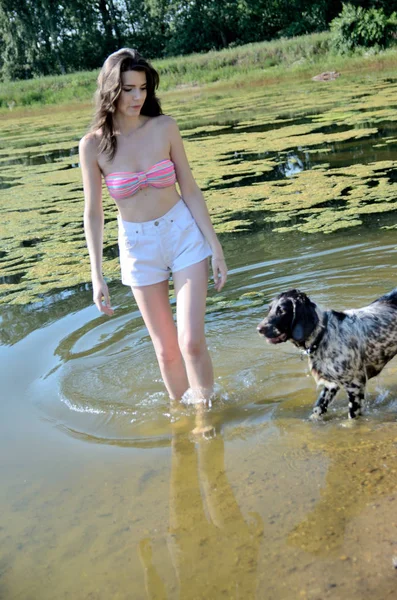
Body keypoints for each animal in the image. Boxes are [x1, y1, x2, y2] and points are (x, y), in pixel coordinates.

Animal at [256, 288, 397, 420]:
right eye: (269, 309)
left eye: (282, 311)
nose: (259, 329)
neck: (323, 334)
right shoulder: (331, 384)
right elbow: (318, 408)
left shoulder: (355, 384)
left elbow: (352, 417)